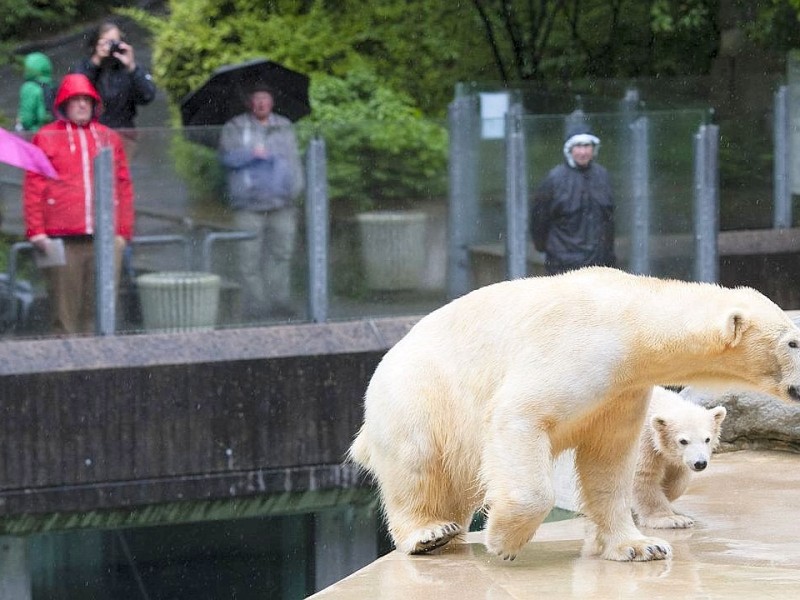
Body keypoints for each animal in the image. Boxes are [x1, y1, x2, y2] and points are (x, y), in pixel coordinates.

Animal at [348, 268, 800, 564]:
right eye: (794, 340)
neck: (630, 322)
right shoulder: (577, 348)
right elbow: (521, 415)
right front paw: (503, 541)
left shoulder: (622, 390)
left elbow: (609, 460)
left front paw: (642, 546)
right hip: (417, 396)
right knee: (416, 462)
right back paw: (429, 533)